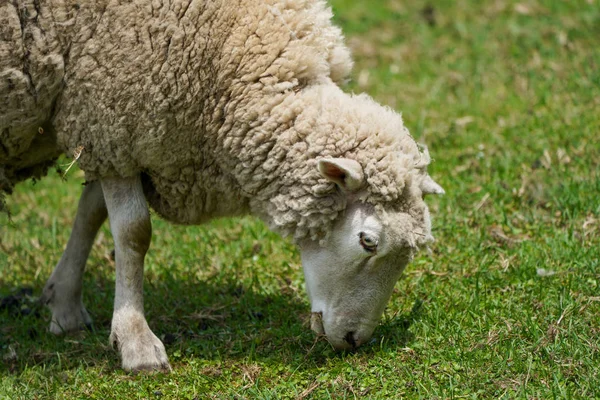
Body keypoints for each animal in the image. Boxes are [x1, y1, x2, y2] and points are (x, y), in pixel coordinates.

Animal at [0, 0, 440, 372]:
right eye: (368, 241)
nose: (353, 340)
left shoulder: (110, 133)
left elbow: (92, 211)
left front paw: (64, 304)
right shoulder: (112, 115)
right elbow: (132, 233)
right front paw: (135, 340)